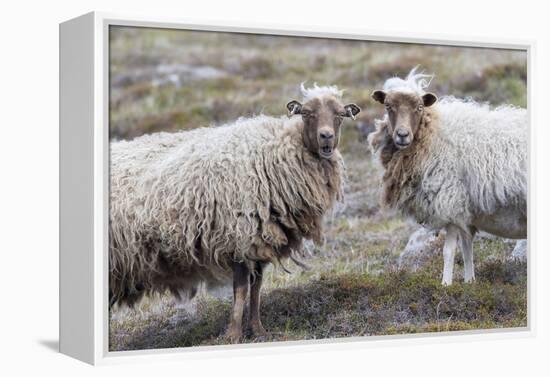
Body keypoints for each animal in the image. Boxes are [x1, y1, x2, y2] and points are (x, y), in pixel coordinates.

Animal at [110, 83, 364, 342]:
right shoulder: (239, 238)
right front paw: (233, 334)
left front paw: (258, 330)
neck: (276, 151)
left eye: (340, 115)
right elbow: (241, 289)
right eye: (307, 113)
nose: (326, 137)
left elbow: (257, 287)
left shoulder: (260, 242)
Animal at [370, 68, 532, 284]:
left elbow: (448, 251)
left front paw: (446, 285)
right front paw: (469, 282)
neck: (432, 133)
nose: (402, 135)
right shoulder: (464, 212)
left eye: (419, 107)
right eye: (388, 106)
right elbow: (466, 249)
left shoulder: (450, 202)